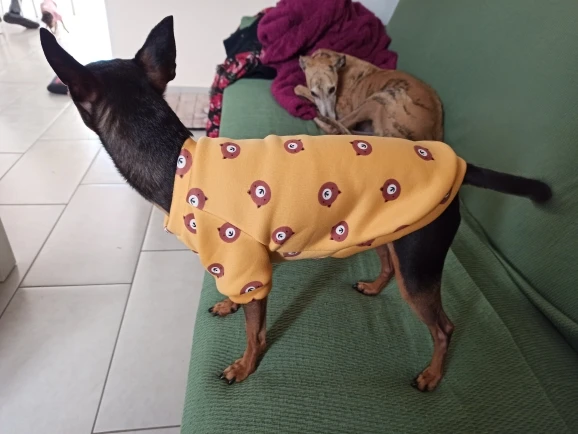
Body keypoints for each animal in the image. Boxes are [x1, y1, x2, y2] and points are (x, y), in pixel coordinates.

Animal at [295, 49, 443, 140]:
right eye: (314, 93)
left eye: (332, 89)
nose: (329, 116)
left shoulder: (343, 110)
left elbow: (297, 88)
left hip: (378, 100)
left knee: (334, 130)